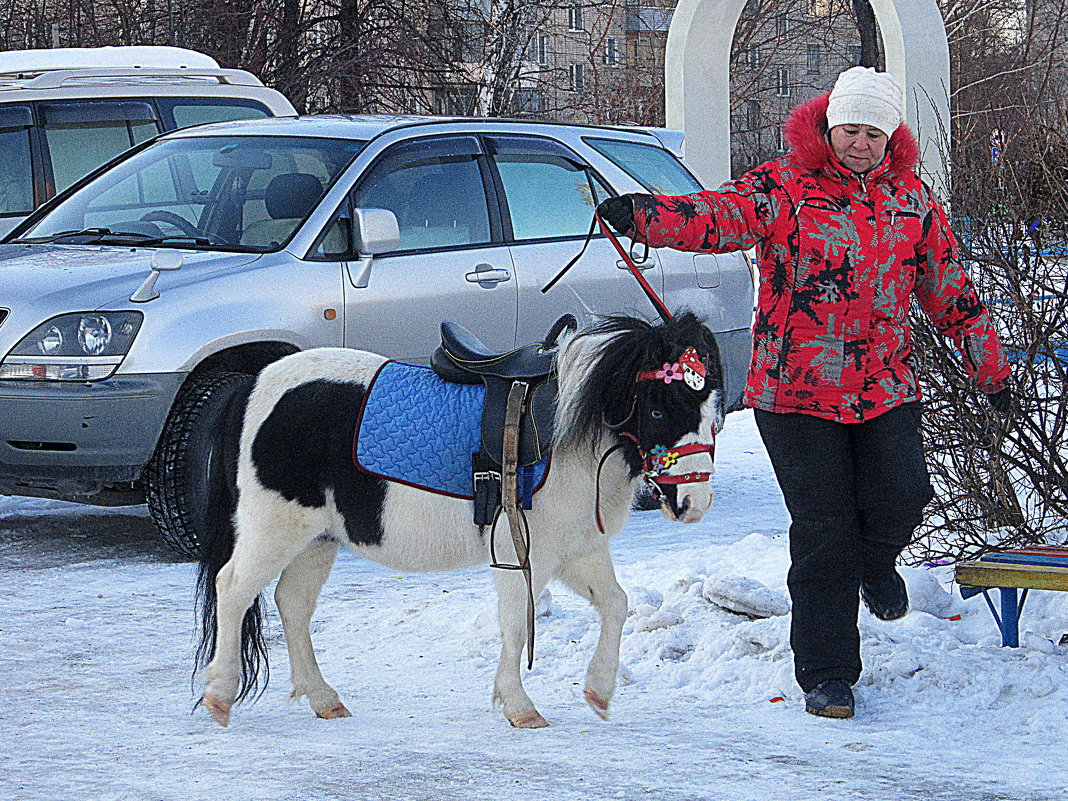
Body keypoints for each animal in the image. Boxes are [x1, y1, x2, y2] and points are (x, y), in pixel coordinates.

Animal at [195, 309, 721, 730]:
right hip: (275, 529)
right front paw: (520, 707)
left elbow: (616, 604)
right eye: (659, 410)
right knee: (234, 588)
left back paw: (325, 699)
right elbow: (516, 626)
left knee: (293, 603)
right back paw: (219, 696)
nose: (694, 503)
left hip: (318, 539)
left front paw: (598, 692)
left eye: (712, 410)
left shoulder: (578, 551)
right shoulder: (523, 553)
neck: (569, 438)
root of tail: (252, 387)